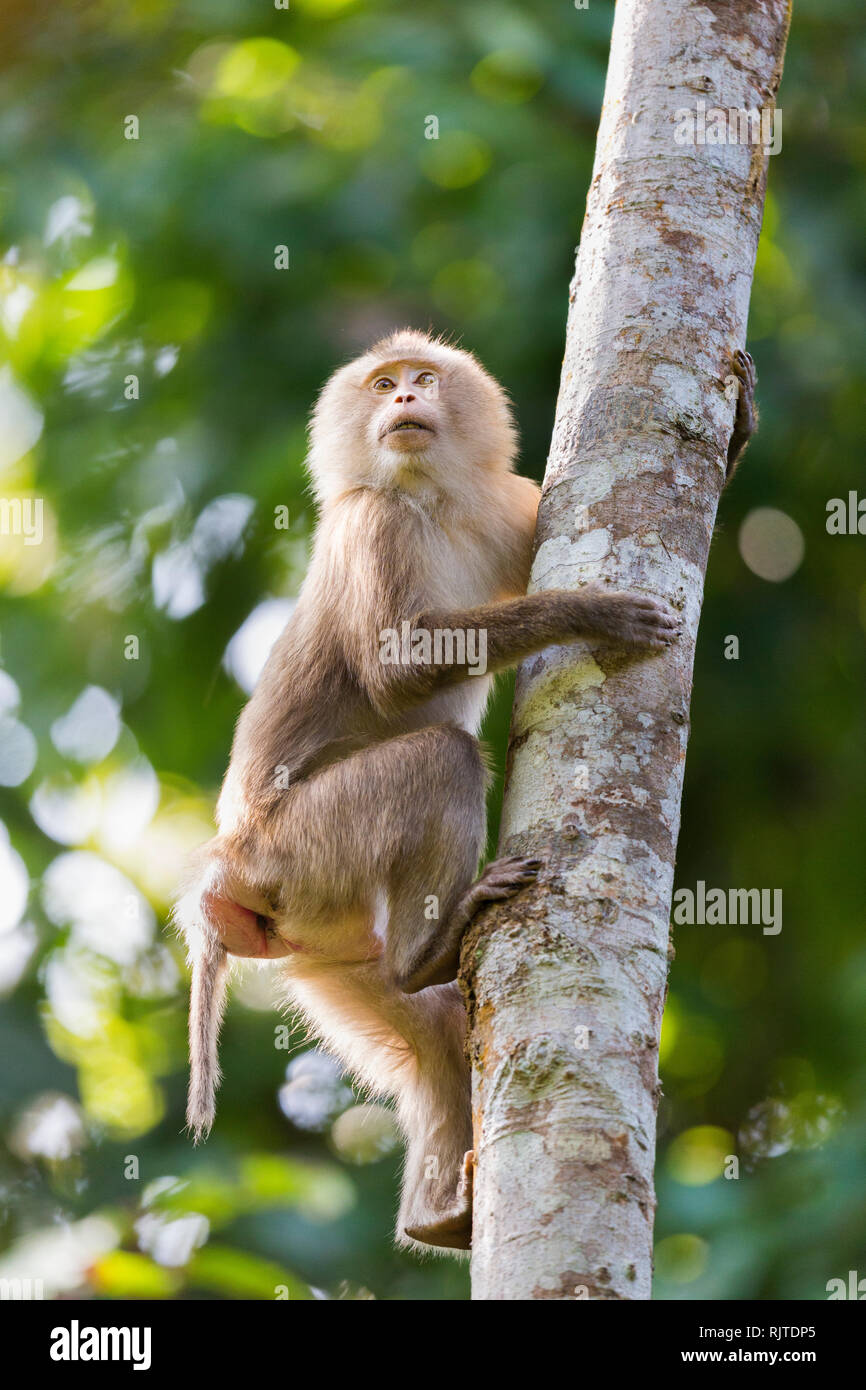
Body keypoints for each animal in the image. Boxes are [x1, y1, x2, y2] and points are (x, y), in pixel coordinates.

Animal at [174, 330, 750, 1256]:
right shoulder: (372, 522)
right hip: (296, 849)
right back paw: (431, 952)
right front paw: (588, 613)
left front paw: (737, 423)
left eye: (421, 379)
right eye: (383, 385)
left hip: (321, 946)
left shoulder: (510, 508)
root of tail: (225, 868)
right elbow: (400, 670)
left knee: (438, 1026)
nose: (406, 399)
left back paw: (438, 1213)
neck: (427, 500)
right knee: (442, 758)